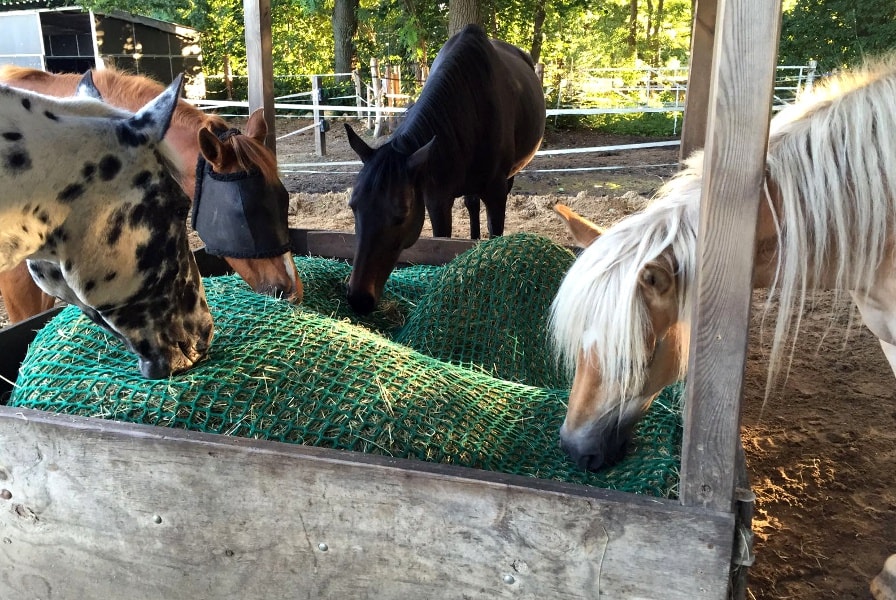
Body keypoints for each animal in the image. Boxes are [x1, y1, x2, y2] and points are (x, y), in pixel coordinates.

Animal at [344, 23, 544, 314]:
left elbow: (496, 235)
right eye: (353, 206)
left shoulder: (496, 193)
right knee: (472, 204)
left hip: (509, 177)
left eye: (401, 215)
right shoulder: (436, 199)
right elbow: (442, 240)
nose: (359, 298)